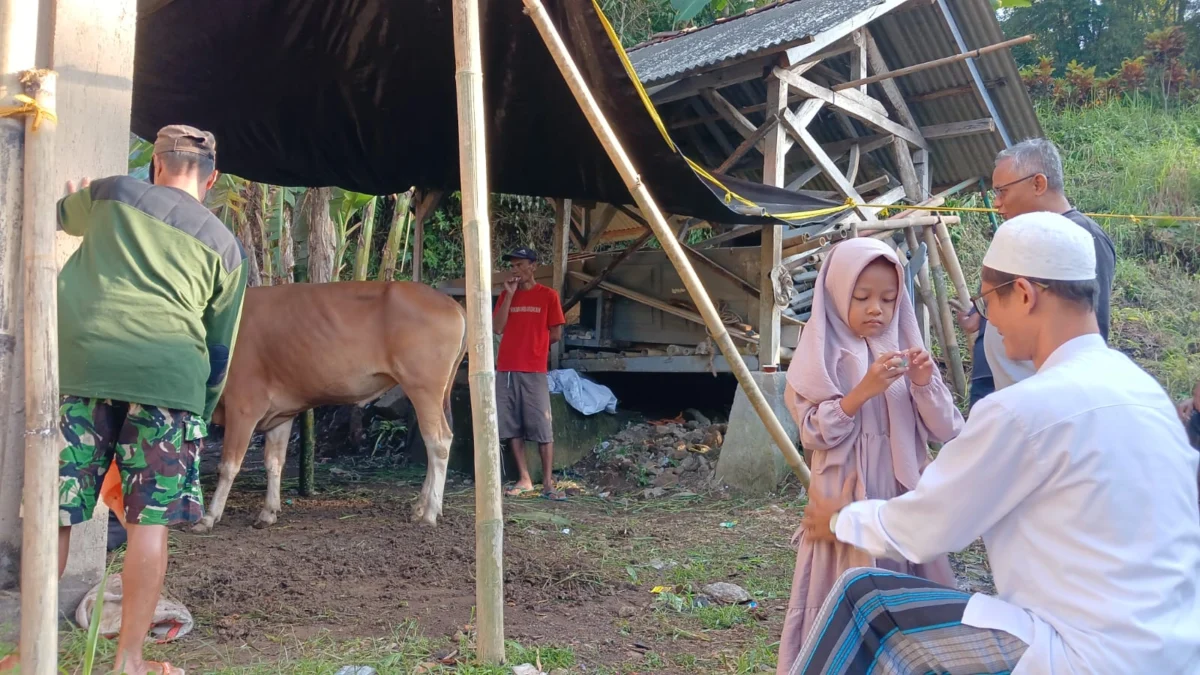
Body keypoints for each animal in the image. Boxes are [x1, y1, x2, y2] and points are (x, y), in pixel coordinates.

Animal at [190, 278, 463, 530]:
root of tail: (451, 304)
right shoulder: (279, 414)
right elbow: (274, 462)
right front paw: (268, 512)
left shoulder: (243, 407)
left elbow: (228, 465)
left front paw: (209, 517)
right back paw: (421, 507)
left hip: (423, 388)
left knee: (438, 443)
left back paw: (430, 512)